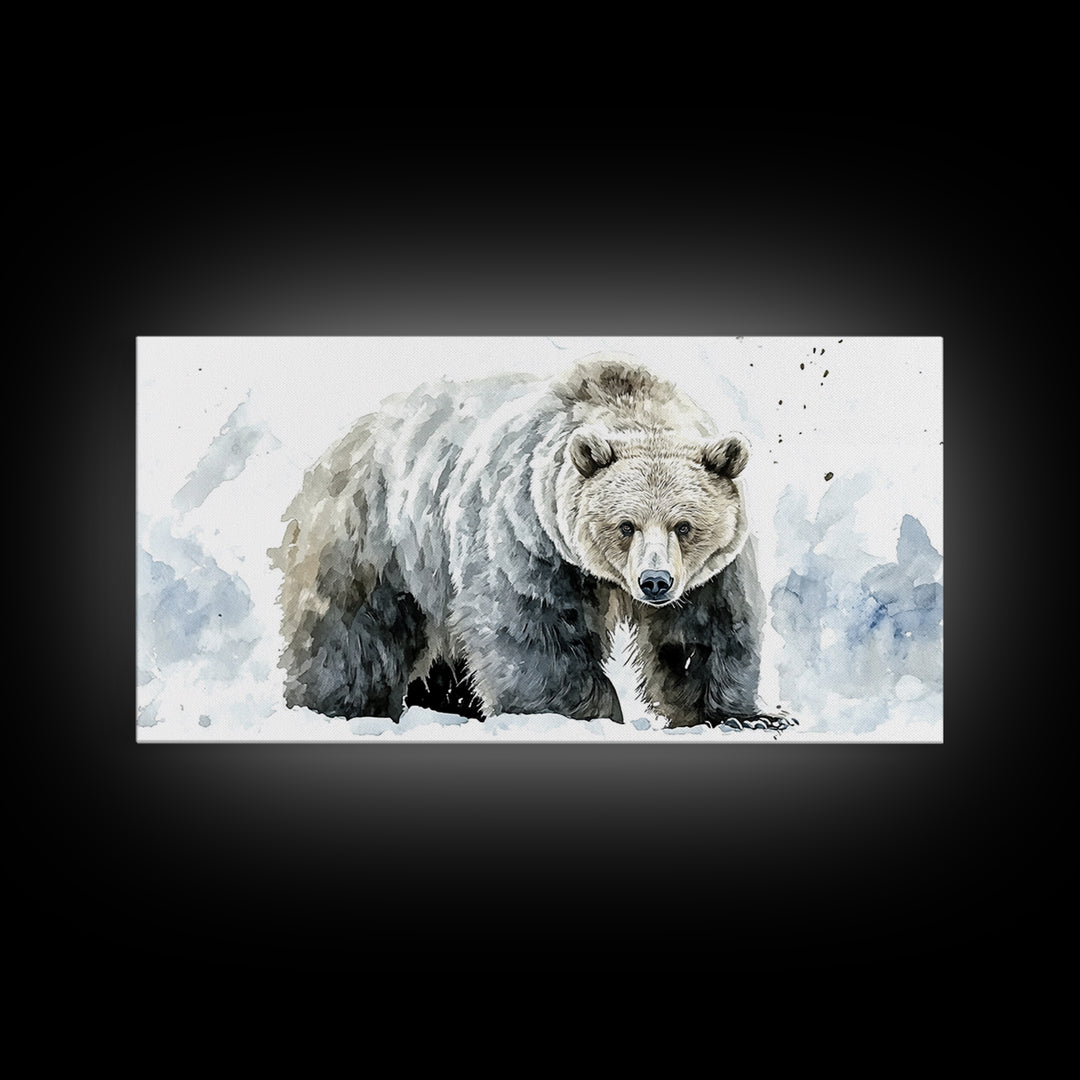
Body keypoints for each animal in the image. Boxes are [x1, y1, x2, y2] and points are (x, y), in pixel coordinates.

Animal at [269, 353, 793, 730]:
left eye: (684, 525)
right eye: (625, 525)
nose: (655, 582)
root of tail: (344, 440)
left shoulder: (713, 570)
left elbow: (704, 632)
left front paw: (748, 716)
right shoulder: (530, 535)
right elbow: (531, 628)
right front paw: (586, 710)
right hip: (373, 538)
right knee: (351, 629)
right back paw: (339, 705)